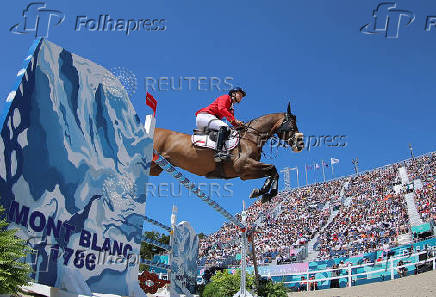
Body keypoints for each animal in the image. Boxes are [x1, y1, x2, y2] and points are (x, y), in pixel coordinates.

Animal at [150, 103, 304, 202]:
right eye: (292, 125)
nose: (300, 144)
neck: (251, 137)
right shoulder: (243, 165)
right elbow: (272, 168)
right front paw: (266, 191)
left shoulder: (245, 173)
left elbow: (273, 172)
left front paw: (265, 192)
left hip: (156, 167)